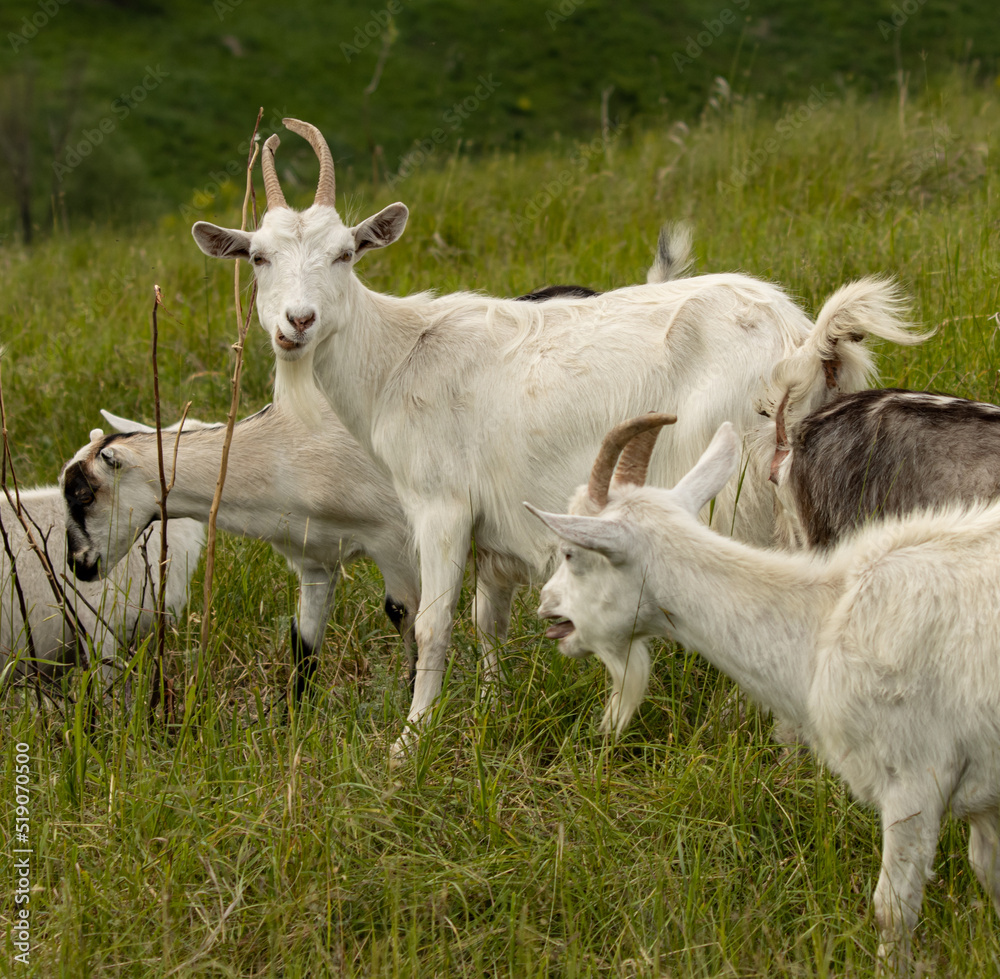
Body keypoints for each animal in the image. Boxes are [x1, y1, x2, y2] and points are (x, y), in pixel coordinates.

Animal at [190, 117, 859, 761]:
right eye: (258, 258)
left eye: (346, 253)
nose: (297, 322)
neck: (399, 356)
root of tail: (804, 344)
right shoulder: (493, 524)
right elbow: (489, 619)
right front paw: (491, 709)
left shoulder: (440, 506)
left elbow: (434, 623)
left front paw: (411, 742)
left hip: (738, 490)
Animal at [528, 414, 1000, 971]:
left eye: (572, 552)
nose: (547, 606)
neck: (824, 622)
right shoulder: (987, 799)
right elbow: (989, 874)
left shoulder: (915, 781)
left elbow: (892, 911)